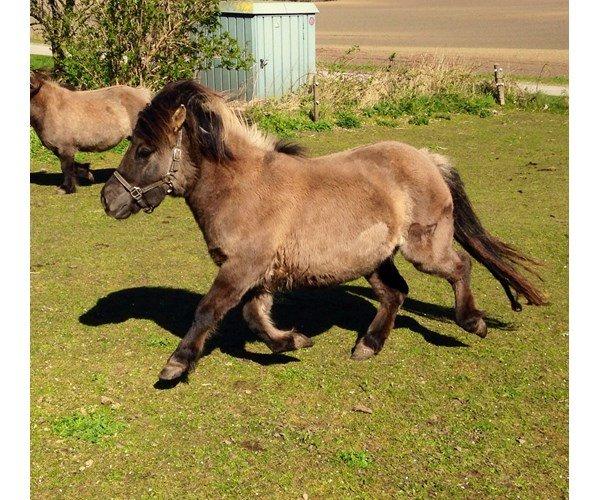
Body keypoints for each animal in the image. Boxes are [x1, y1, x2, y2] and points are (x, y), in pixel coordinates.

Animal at [101, 80, 548, 380]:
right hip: (374, 258)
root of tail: (426, 158)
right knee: (395, 293)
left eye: (144, 150)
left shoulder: (241, 269)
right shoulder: (257, 274)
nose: (108, 199)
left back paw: (472, 322)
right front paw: (292, 342)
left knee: (459, 268)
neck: (242, 189)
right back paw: (368, 345)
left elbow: (209, 310)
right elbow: (253, 317)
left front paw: (176, 364)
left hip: (424, 249)